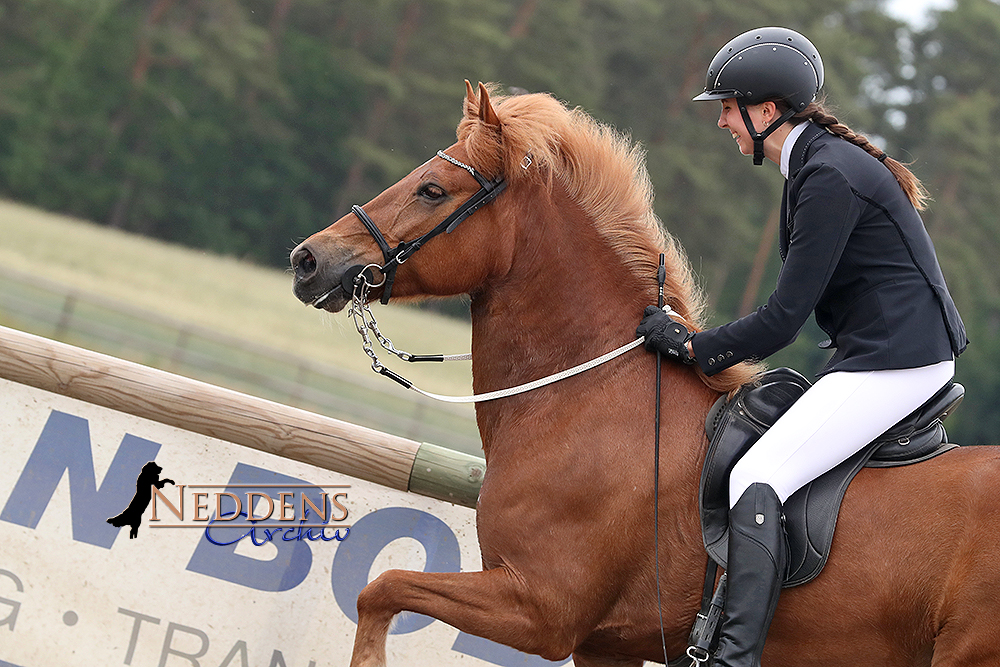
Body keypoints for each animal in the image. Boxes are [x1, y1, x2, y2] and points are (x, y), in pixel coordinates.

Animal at [290, 83, 1000, 667]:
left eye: (433, 189)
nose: (308, 260)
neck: (588, 400)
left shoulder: (539, 610)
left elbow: (382, 589)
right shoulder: (605, 644)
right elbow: (383, 591)